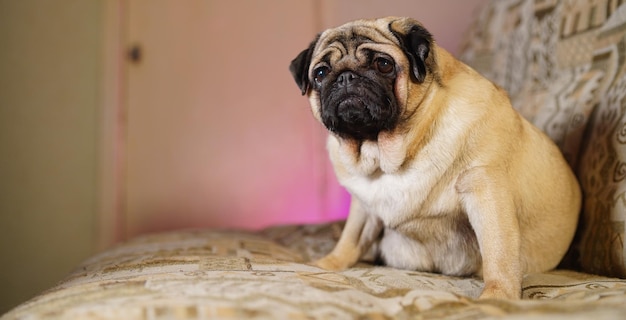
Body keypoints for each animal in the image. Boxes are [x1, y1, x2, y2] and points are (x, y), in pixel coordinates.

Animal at [288, 16, 580, 298]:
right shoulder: (364, 205)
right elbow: (350, 239)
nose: (346, 77)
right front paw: (327, 264)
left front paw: (498, 295)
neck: (388, 154)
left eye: (383, 64)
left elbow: (498, 251)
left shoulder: (484, 187)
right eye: (321, 73)